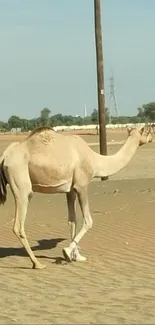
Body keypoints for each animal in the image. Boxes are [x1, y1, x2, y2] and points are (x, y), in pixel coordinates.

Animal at [0, 124, 153, 268]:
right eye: (148, 131)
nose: (152, 137)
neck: (95, 160)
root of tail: (5, 156)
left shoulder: (70, 190)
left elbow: (72, 221)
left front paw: (76, 256)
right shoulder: (81, 186)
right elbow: (88, 220)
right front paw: (67, 252)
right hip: (21, 183)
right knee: (18, 225)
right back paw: (37, 263)